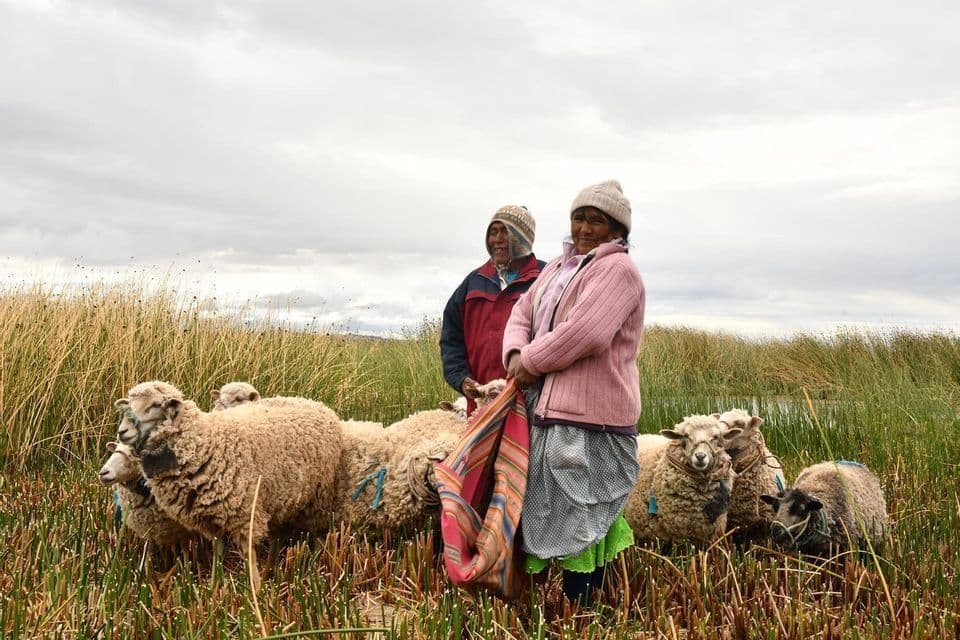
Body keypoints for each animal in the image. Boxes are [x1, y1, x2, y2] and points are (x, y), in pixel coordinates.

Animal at [115, 381, 342, 585]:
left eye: (155, 404)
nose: (122, 431)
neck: (205, 441)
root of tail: (313, 402)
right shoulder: (210, 520)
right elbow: (217, 554)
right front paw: (215, 588)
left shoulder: (245, 514)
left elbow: (249, 556)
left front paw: (255, 590)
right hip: (281, 498)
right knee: (277, 540)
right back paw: (271, 570)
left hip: (319, 498)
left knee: (319, 534)